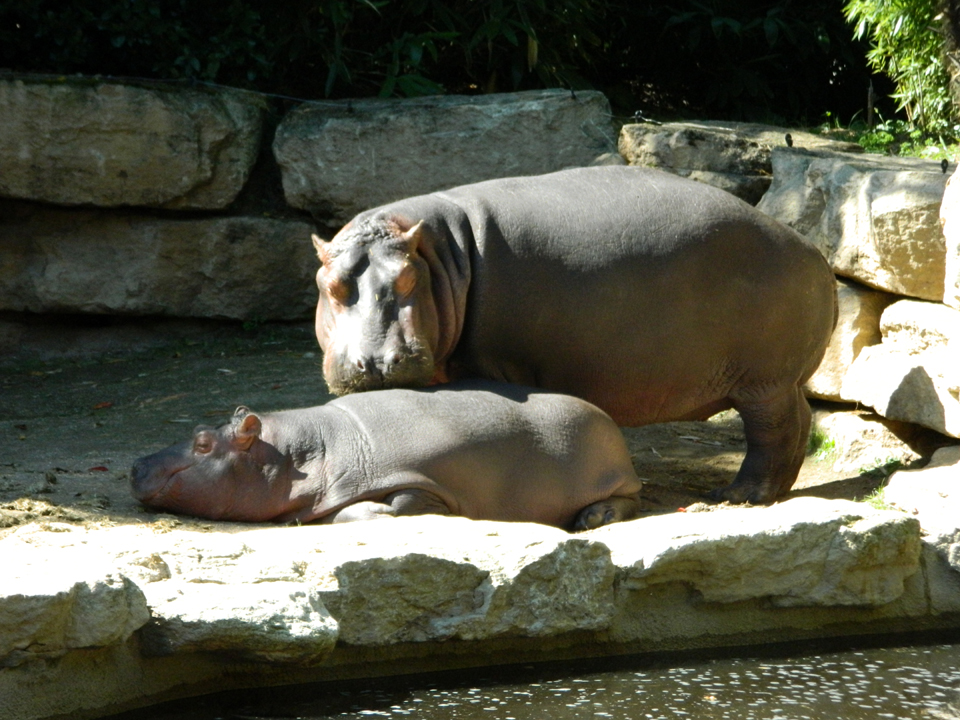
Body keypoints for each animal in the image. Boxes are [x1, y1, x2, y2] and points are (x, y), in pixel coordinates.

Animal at [130, 380, 642, 531]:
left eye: (202, 442)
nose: (136, 463)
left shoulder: (425, 480)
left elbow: (400, 504)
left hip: (613, 472)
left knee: (628, 499)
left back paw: (591, 519)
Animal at [313, 166, 837, 504]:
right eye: (329, 284)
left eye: (407, 279)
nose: (376, 362)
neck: (440, 258)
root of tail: (813, 251)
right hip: (779, 381)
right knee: (801, 423)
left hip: (764, 383)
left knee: (773, 433)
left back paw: (737, 496)